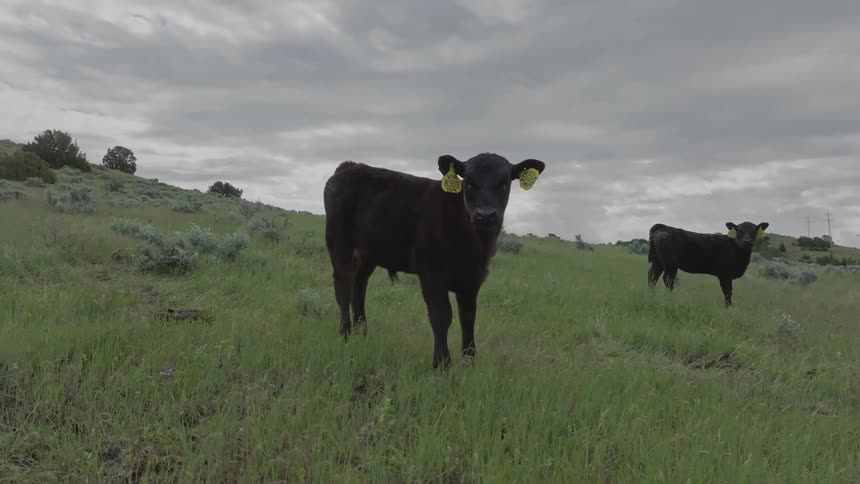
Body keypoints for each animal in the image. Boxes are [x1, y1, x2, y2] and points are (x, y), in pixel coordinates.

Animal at [323, 152, 546, 368]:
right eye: (469, 182)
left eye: (505, 183)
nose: (485, 215)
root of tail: (349, 166)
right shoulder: (431, 274)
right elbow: (441, 317)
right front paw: (442, 363)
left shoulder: (473, 279)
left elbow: (468, 318)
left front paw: (469, 363)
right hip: (339, 241)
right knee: (343, 286)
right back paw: (345, 334)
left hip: (367, 253)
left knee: (359, 287)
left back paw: (362, 334)